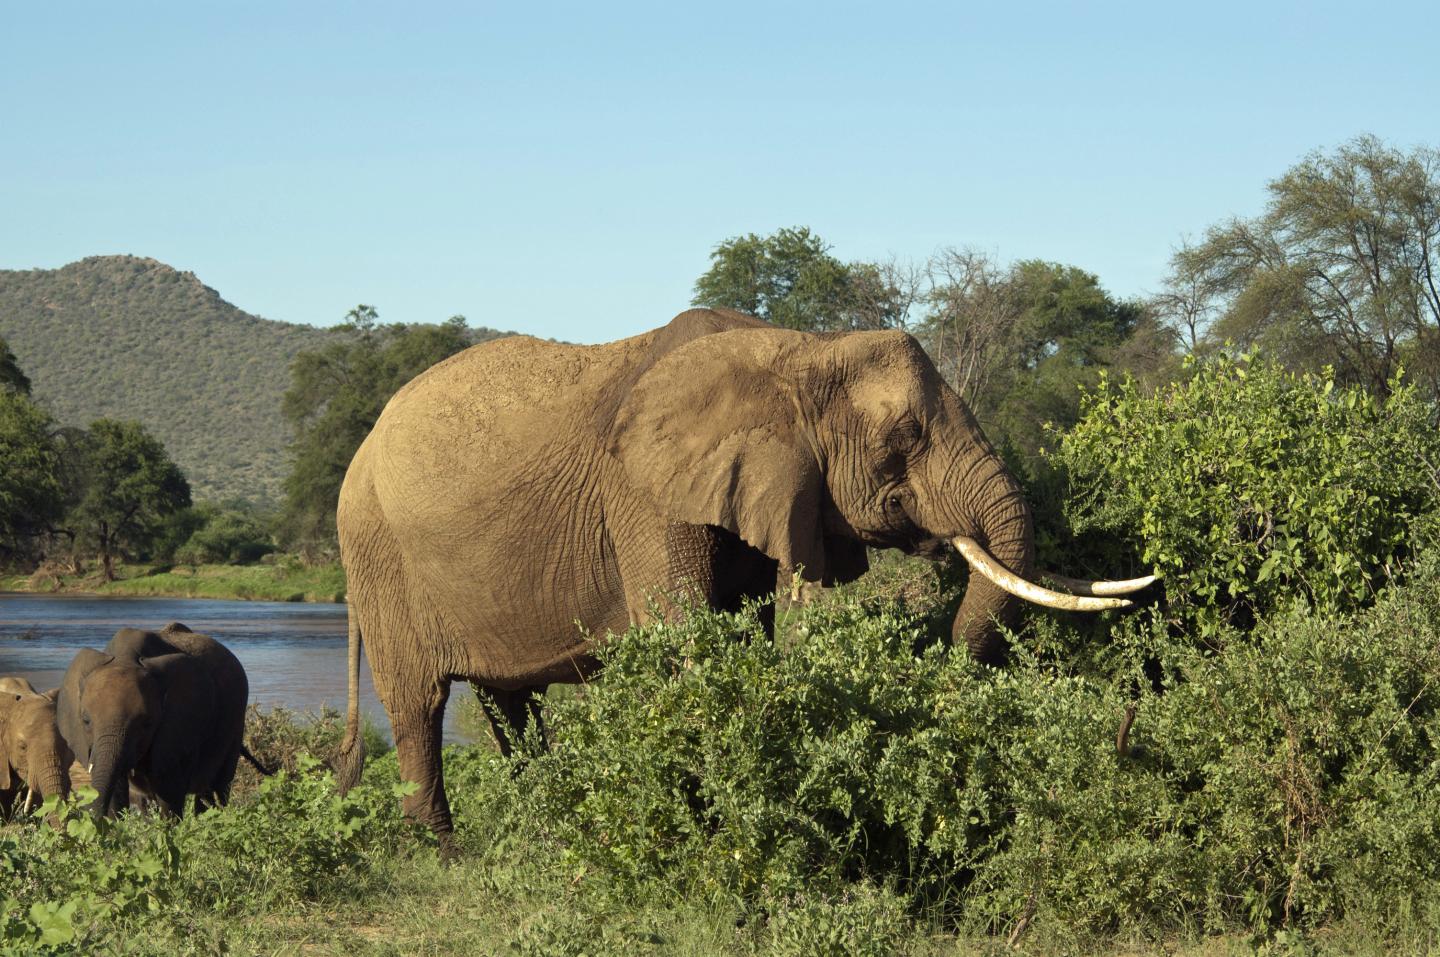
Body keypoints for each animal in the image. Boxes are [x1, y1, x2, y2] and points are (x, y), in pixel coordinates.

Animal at [56, 622, 261, 817]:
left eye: (146, 723)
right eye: (85, 721)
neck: (125, 657)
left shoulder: (180, 726)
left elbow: (169, 795)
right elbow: (117, 794)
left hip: (235, 722)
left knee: (217, 787)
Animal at [333, 308, 1152, 845]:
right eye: (904, 436)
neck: (794, 349)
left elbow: (742, 632)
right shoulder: (645, 494)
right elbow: (685, 639)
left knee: (509, 706)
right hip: (375, 553)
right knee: (419, 705)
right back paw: (441, 851)